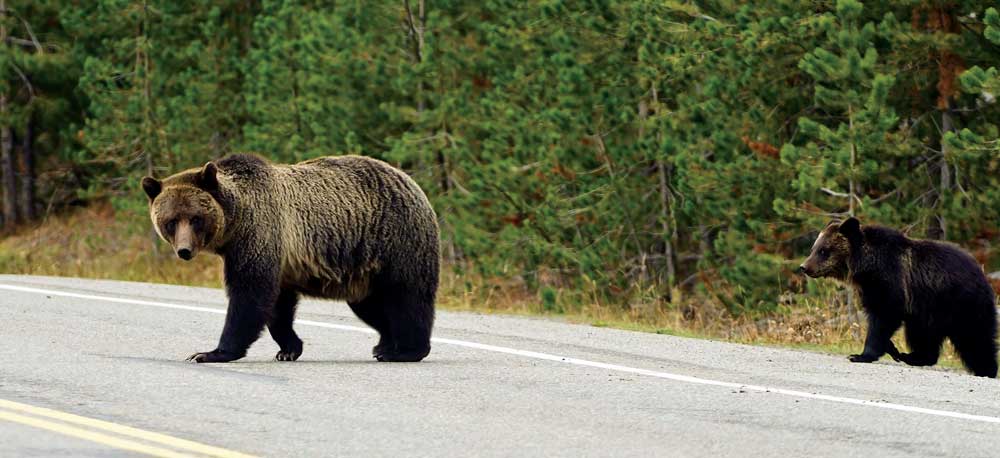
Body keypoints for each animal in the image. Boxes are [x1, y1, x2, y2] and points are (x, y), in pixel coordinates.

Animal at [143, 154, 440, 362]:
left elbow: (249, 295)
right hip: (361, 267)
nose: (184, 250)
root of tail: (411, 182)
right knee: (370, 305)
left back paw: (406, 350)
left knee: (406, 297)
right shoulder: (280, 258)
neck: (236, 223)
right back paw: (384, 344)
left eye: (195, 218)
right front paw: (289, 349)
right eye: (171, 221)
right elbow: (277, 305)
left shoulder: (260, 235)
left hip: (398, 240)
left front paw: (210, 353)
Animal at [800, 216, 996, 378]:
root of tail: (982, 273)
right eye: (814, 248)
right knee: (923, 336)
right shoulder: (871, 288)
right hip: (929, 312)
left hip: (960, 303)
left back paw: (986, 370)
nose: (804, 267)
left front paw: (861, 355)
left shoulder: (889, 281)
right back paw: (910, 356)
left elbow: (883, 316)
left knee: (976, 338)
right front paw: (888, 347)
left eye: (824, 250)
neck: (865, 266)